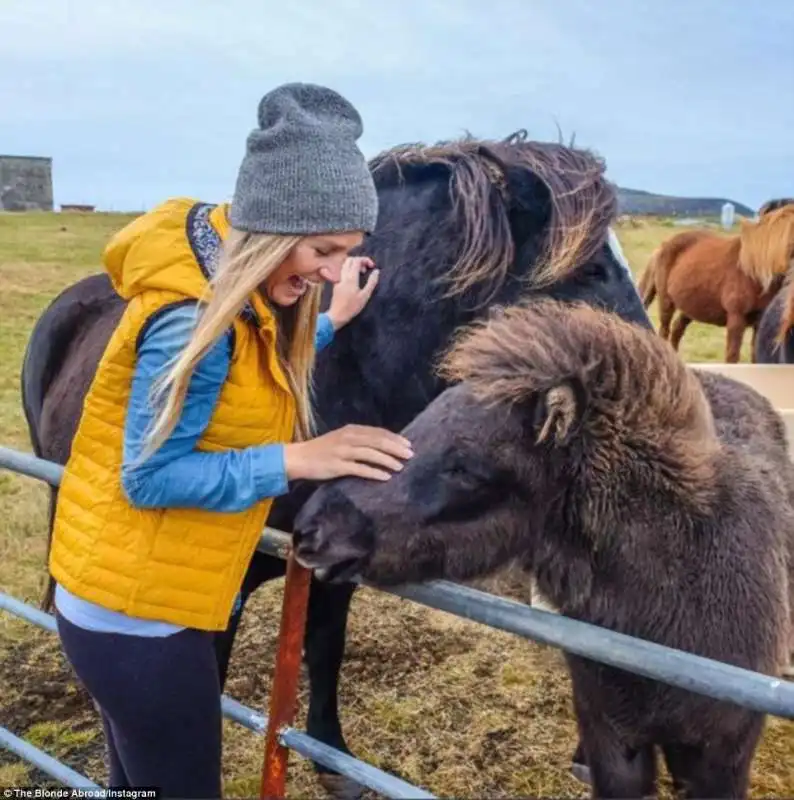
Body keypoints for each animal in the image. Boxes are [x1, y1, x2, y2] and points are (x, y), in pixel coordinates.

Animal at [636, 203, 792, 362]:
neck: (753, 272)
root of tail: (664, 245)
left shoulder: (759, 323)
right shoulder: (736, 319)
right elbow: (732, 356)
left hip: (691, 305)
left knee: (677, 328)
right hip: (666, 301)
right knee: (664, 330)